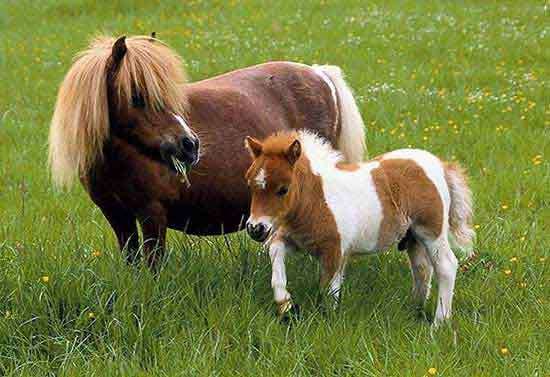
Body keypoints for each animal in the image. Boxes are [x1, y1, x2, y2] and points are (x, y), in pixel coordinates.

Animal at [245, 130, 474, 324]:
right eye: (250, 185)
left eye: (283, 189)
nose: (256, 228)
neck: (318, 199)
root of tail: (441, 166)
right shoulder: (294, 240)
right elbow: (276, 253)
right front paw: (285, 304)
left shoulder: (335, 251)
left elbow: (328, 290)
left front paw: (326, 323)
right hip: (414, 238)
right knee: (422, 269)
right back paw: (414, 311)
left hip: (432, 232)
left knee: (446, 266)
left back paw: (439, 323)